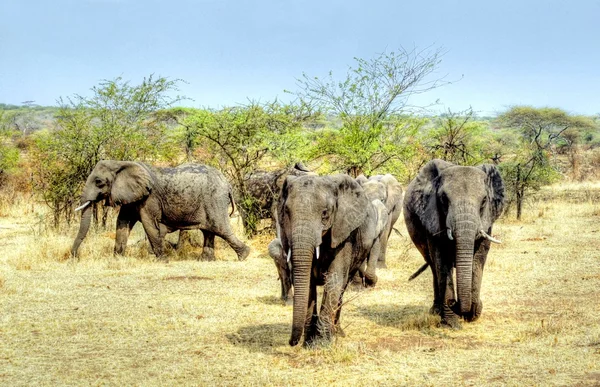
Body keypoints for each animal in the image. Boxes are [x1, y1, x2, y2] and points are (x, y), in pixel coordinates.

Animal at [71, 159, 250, 262]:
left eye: (99, 182)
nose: (73, 257)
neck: (122, 163)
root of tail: (228, 185)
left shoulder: (150, 197)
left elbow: (149, 223)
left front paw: (162, 260)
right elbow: (122, 222)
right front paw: (117, 260)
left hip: (214, 200)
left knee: (220, 228)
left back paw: (244, 255)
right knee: (209, 230)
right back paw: (206, 261)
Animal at [278, 174, 384, 348]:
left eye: (325, 213)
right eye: (286, 211)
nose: (291, 342)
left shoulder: (344, 234)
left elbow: (334, 279)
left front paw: (320, 344)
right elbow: (307, 282)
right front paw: (309, 342)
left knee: (343, 286)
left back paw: (338, 333)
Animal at [404, 159, 506, 328]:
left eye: (484, 200)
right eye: (444, 199)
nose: (454, 304)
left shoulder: (487, 220)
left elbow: (478, 259)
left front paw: (472, 314)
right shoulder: (433, 217)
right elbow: (442, 260)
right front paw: (451, 323)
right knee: (434, 267)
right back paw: (436, 311)